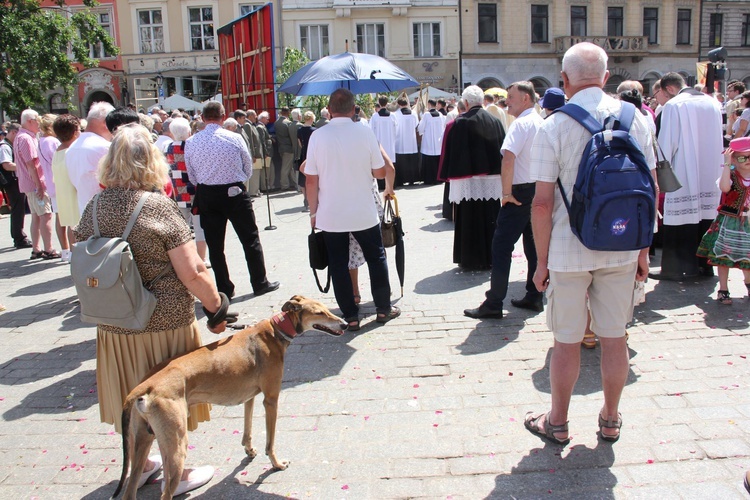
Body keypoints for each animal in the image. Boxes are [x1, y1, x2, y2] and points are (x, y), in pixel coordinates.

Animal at [113, 294, 348, 498]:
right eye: (319, 312)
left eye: (327, 309)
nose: (344, 324)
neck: (273, 332)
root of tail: (144, 385)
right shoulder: (271, 399)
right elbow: (270, 442)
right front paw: (276, 463)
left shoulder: (250, 397)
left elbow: (247, 429)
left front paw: (249, 450)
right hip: (176, 445)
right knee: (166, 492)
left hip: (143, 439)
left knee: (130, 490)